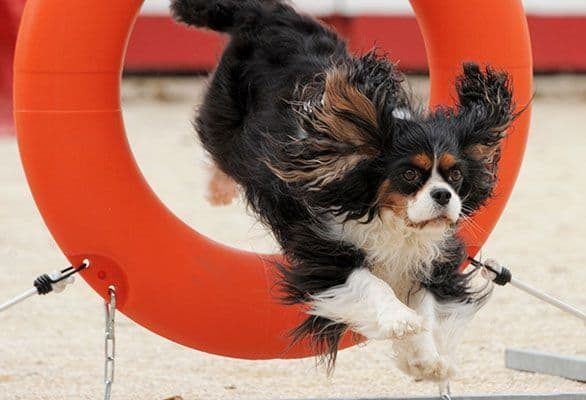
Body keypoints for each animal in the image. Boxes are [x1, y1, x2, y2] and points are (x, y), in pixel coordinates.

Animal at [170, 0, 516, 386]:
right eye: (410, 173)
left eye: (455, 175)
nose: (443, 196)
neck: (389, 218)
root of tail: (267, 13)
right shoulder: (324, 253)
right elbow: (370, 283)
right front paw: (399, 319)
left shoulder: (431, 261)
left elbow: (427, 309)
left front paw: (426, 361)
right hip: (226, 119)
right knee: (221, 148)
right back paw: (217, 188)